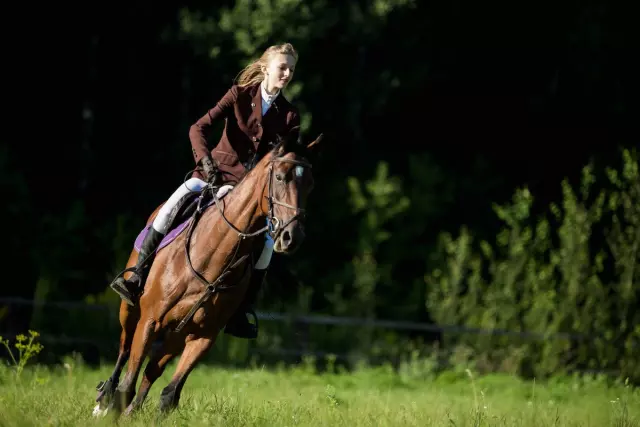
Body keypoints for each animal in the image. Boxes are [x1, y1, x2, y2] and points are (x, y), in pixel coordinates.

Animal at [92, 133, 322, 418]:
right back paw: (103, 399)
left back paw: (132, 410)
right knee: (124, 349)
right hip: (131, 311)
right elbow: (128, 381)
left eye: (310, 184)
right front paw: (113, 407)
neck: (213, 257)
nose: (292, 237)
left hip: (177, 333)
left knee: (153, 369)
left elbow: (169, 394)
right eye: (280, 177)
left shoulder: (203, 336)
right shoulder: (150, 320)